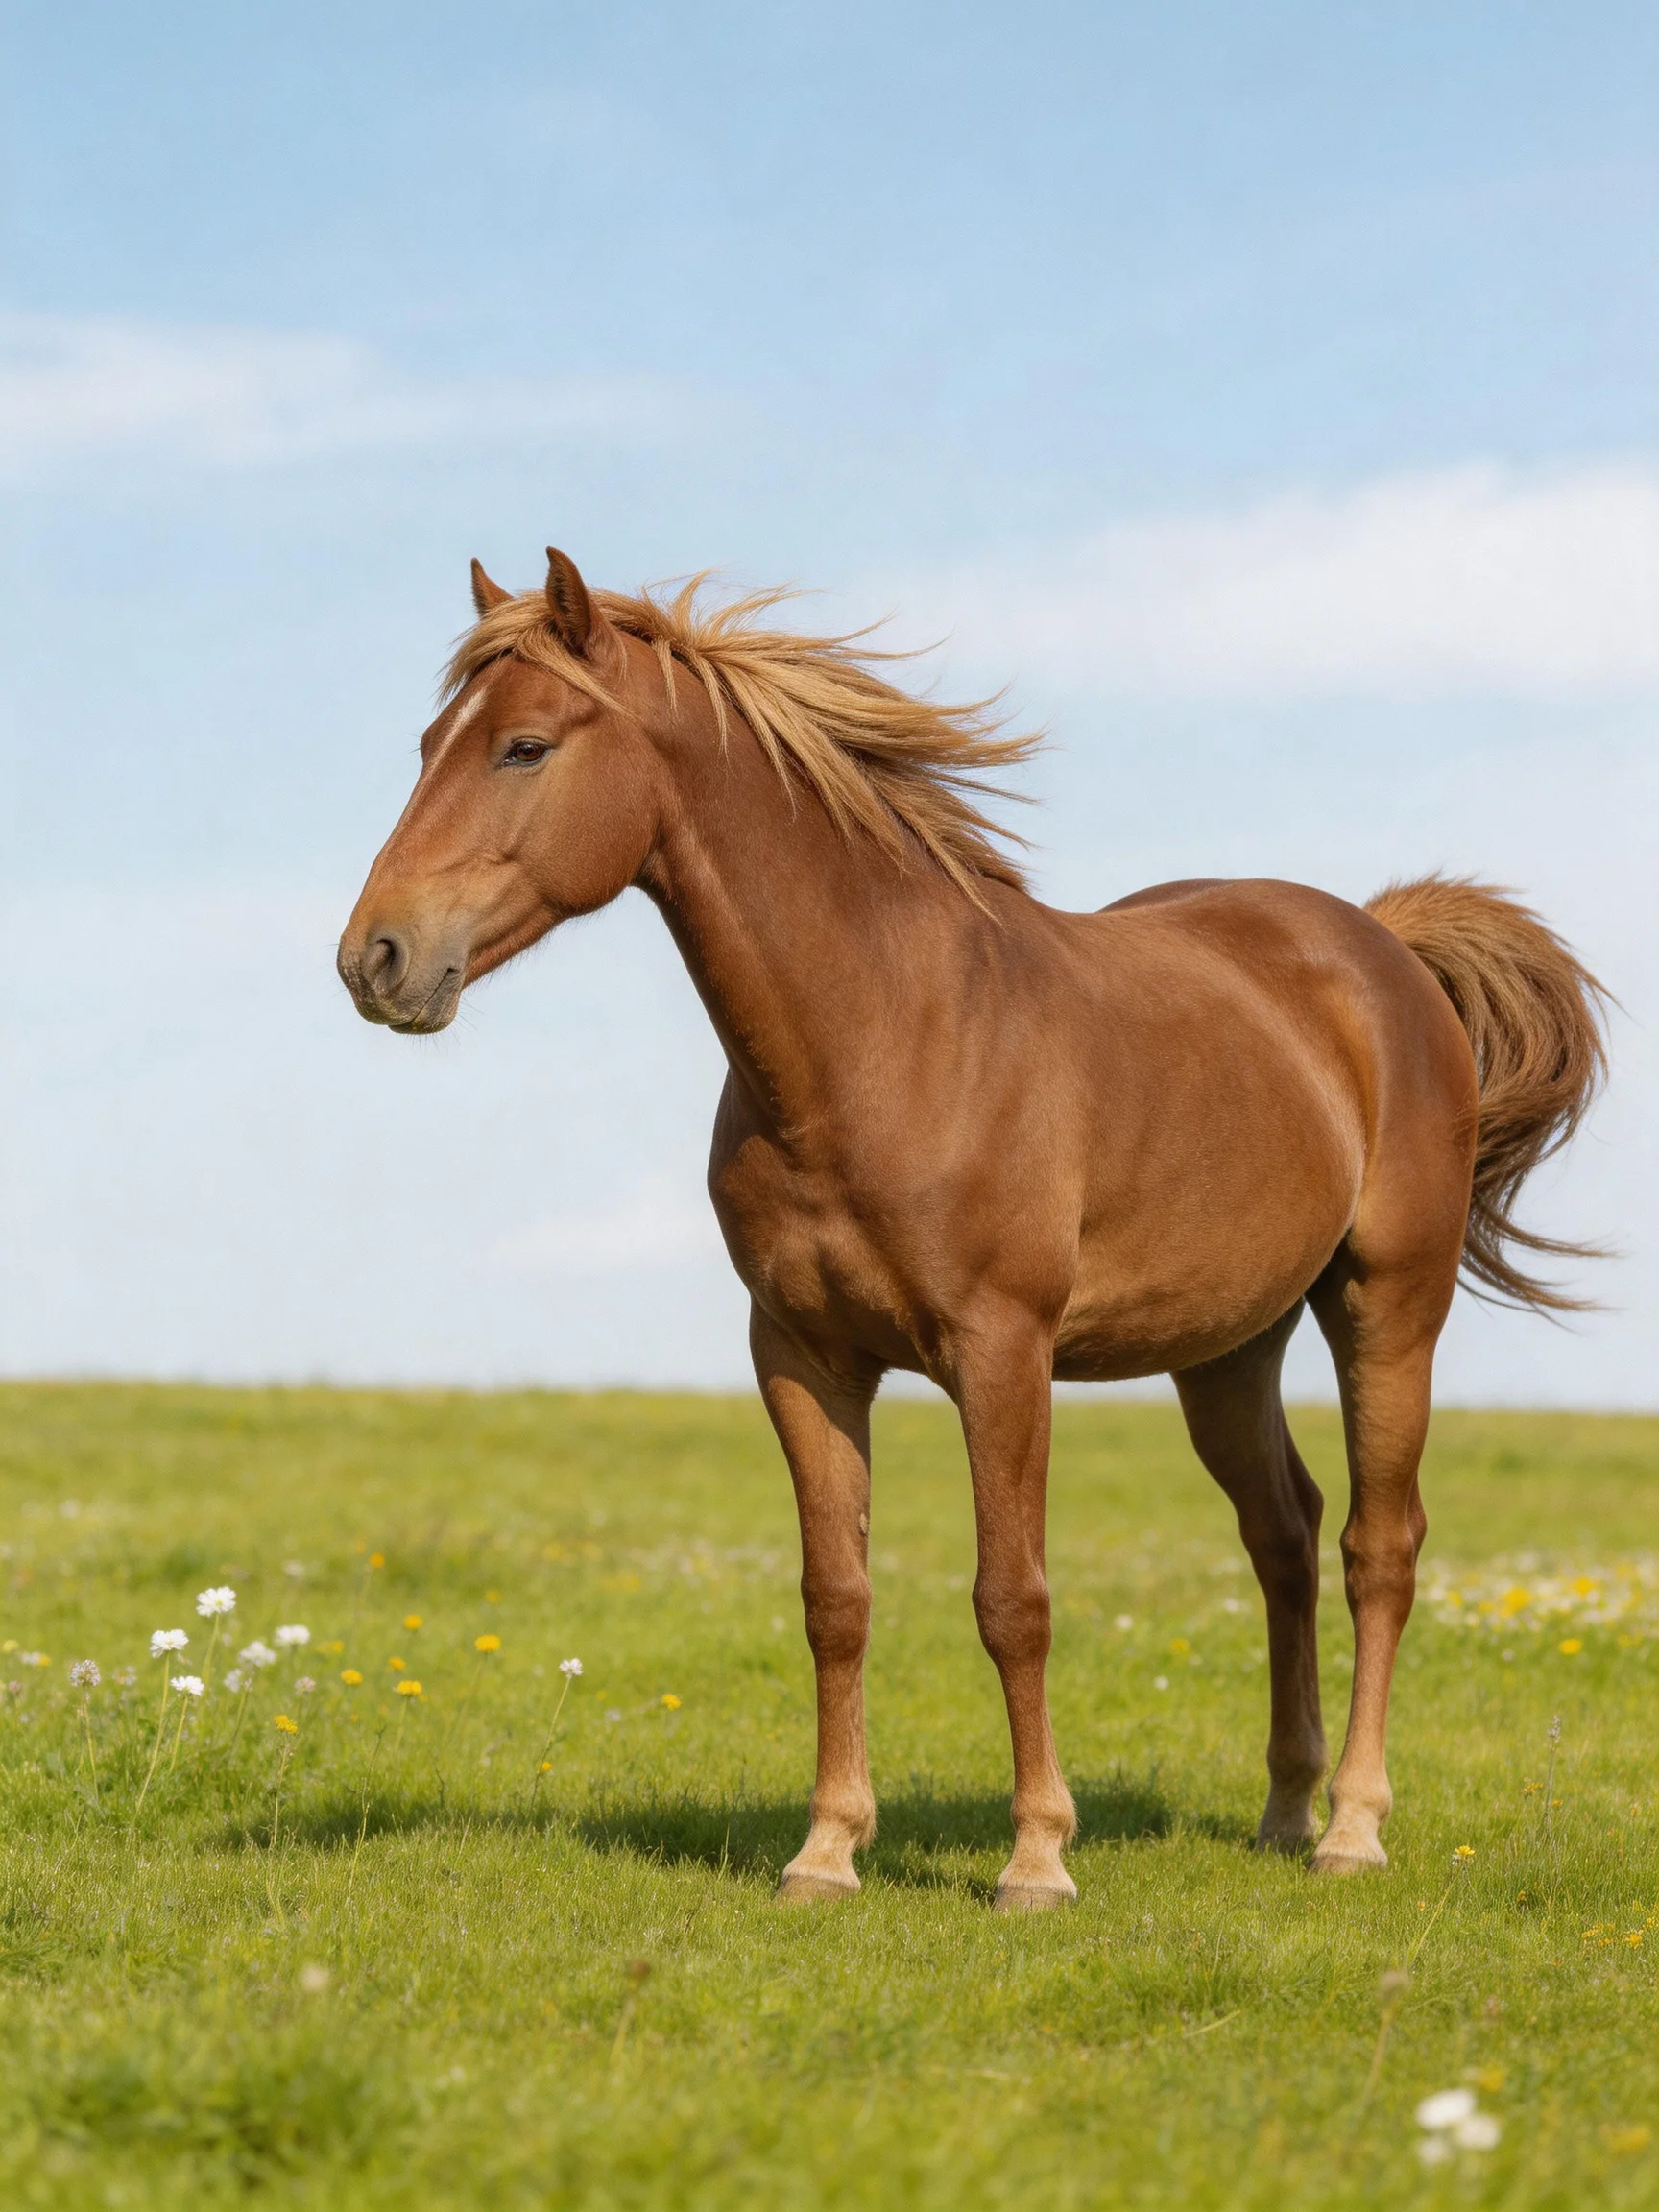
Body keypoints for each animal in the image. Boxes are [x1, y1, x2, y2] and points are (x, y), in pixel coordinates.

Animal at [338, 548, 1607, 1910]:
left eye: (523, 747)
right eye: (431, 743)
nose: (376, 959)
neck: (885, 1038)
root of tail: (1387, 954)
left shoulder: (1002, 1353)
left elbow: (1015, 1599)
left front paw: (1037, 1858)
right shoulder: (802, 1357)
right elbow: (834, 1597)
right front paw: (827, 1850)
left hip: (1386, 1307)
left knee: (1380, 1547)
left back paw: (1351, 1829)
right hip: (1226, 1351)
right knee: (1285, 1537)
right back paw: (1281, 1811)